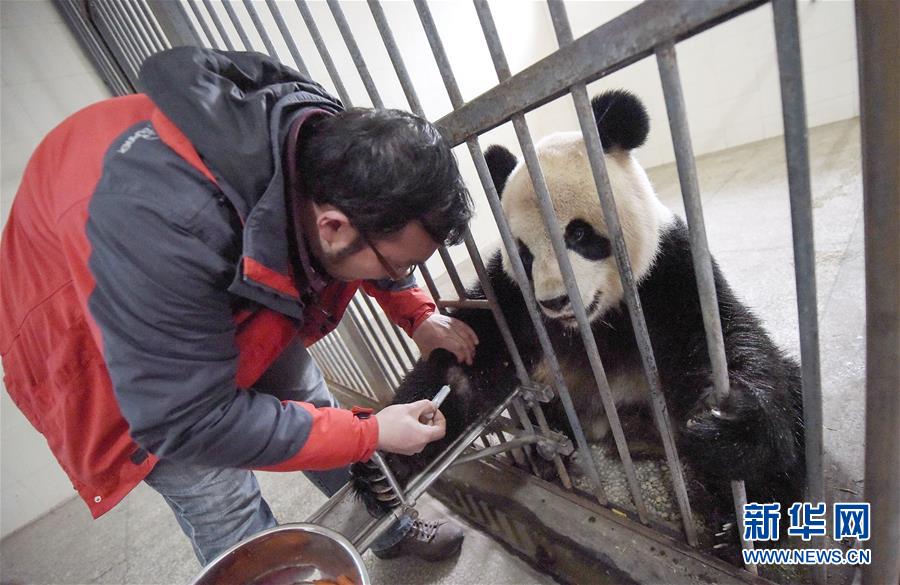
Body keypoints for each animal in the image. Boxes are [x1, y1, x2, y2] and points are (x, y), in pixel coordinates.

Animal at [350, 89, 800, 556]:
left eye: (579, 235)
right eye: (524, 252)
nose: (555, 301)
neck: (596, 321)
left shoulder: (668, 271)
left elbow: (722, 338)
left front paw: (729, 426)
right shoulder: (512, 297)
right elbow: (464, 366)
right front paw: (387, 463)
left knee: (791, 389)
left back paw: (743, 521)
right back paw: (545, 457)